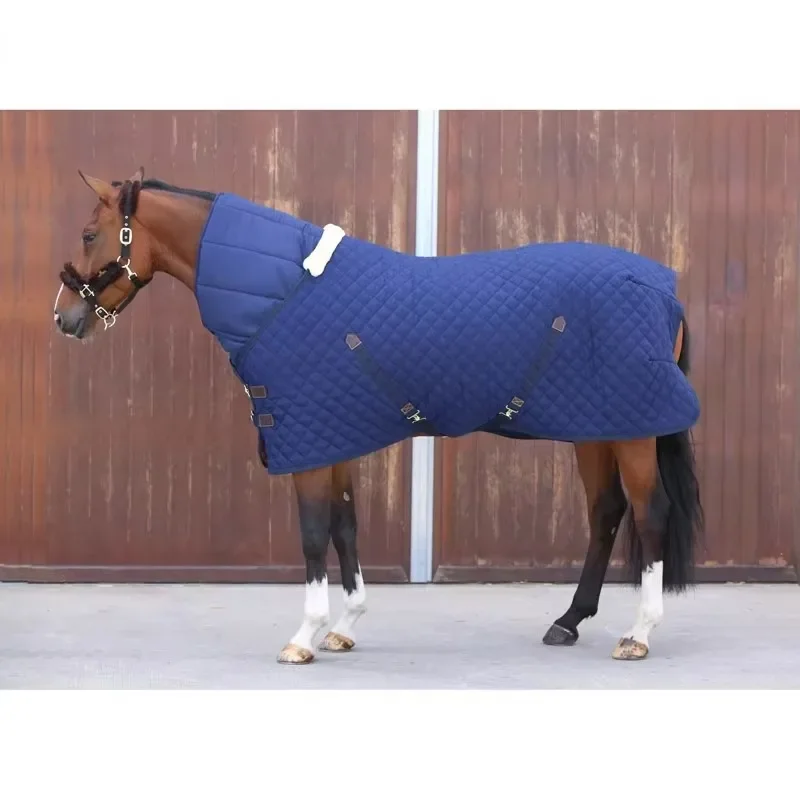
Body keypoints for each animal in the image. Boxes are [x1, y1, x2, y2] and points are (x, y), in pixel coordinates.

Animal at [52, 167, 704, 665]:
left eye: (88, 233)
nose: (64, 319)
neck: (282, 291)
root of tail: (664, 289)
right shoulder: (332, 436)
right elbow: (346, 528)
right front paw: (345, 627)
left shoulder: (308, 442)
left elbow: (314, 535)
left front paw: (303, 637)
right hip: (598, 426)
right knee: (606, 513)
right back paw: (568, 621)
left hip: (633, 431)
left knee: (650, 514)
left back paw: (638, 635)